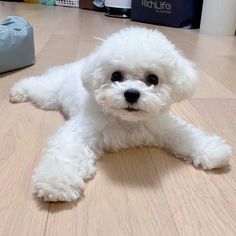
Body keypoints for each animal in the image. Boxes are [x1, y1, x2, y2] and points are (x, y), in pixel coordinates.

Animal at [9, 27, 232, 201]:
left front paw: (211, 149)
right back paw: (17, 91)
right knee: (35, 84)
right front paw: (56, 182)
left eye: (153, 79)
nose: (131, 94)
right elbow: (66, 154)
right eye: (116, 76)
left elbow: (185, 135)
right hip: (48, 94)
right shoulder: (80, 132)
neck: (127, 121)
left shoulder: (163, 126)